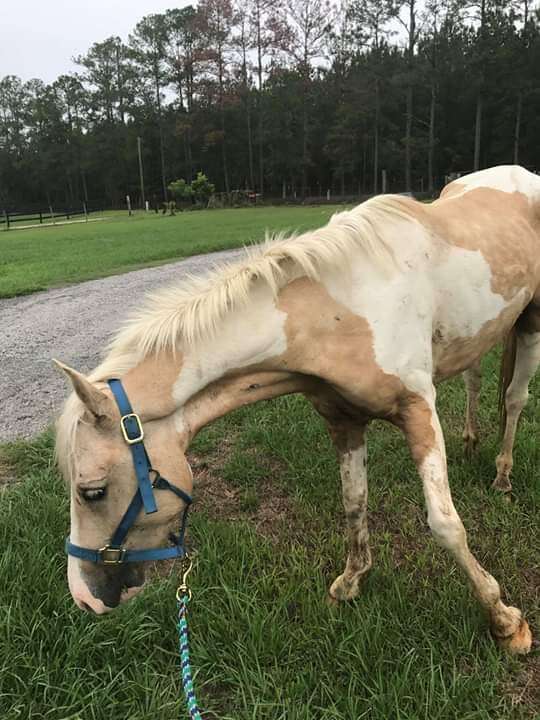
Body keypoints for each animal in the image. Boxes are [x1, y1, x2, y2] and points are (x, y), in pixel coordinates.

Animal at [53, 162, 536, 652]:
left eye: (92, 492)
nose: (84, 599)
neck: (342, 308)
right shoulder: (344, 421)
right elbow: (353, 502)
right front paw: (351, 581)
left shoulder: (418, 409)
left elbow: (445, 524)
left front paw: (506, 621)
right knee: (475, 380)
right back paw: (472, 442)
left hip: (530, 323)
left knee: (515, 399)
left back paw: (502, 475)